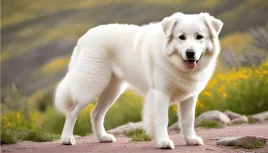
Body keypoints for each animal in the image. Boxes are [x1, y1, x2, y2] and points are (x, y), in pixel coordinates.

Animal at [54, 12, 222, 149]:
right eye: (181, 37)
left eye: (199, 37)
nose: (190, 53)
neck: (173, 60)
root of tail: (84, 37)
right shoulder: (161, 94)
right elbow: (163, 120)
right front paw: (163, 142)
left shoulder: (190, 97)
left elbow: (188, 120)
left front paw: (191, 140)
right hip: (91, 86)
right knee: (72, 112)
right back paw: (67, 138)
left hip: (112, 91)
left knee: (96, 114)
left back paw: (102, 137)